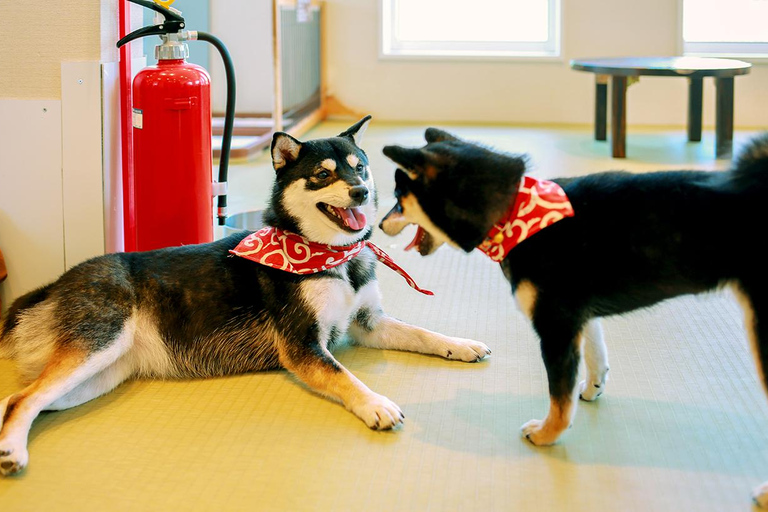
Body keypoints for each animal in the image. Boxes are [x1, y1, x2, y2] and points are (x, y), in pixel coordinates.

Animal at [0, 118, 492, 478]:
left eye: (360, 168)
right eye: (322, 175)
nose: (362, 192)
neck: (331, 256)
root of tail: (57, 283)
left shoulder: (368, 322)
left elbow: (424, 333)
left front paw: (462, 345)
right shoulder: (302, 345)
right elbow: (346, 377)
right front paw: (375, 404)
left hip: (100, 375)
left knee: (18, 400)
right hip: (99, 344)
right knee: (22, 399)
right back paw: (13, 453)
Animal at [382, 129, 768, 508]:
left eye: (399, 199)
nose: (380, 224)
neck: (515, 213)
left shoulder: (555, 325)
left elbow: (559, 396)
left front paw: (547, 433)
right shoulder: (579, 315)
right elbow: (596, 358)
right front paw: (593, 388)